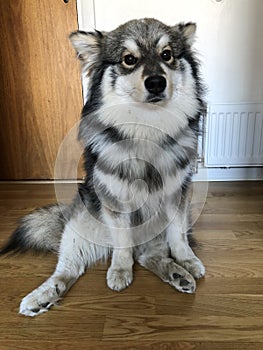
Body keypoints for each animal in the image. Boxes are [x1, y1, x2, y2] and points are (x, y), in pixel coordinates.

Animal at [0, 17, 206, 316]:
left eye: (167, 54)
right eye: (129, 59)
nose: (156, 82)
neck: (147, 127)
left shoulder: (176, 195)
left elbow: (177, 235)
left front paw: (187, 260)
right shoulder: (115, 201)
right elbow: (122, 244)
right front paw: (119, 270)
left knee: (148, 255)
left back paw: (178, 273)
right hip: (78, 229)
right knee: (68, 270)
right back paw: (41, 297)